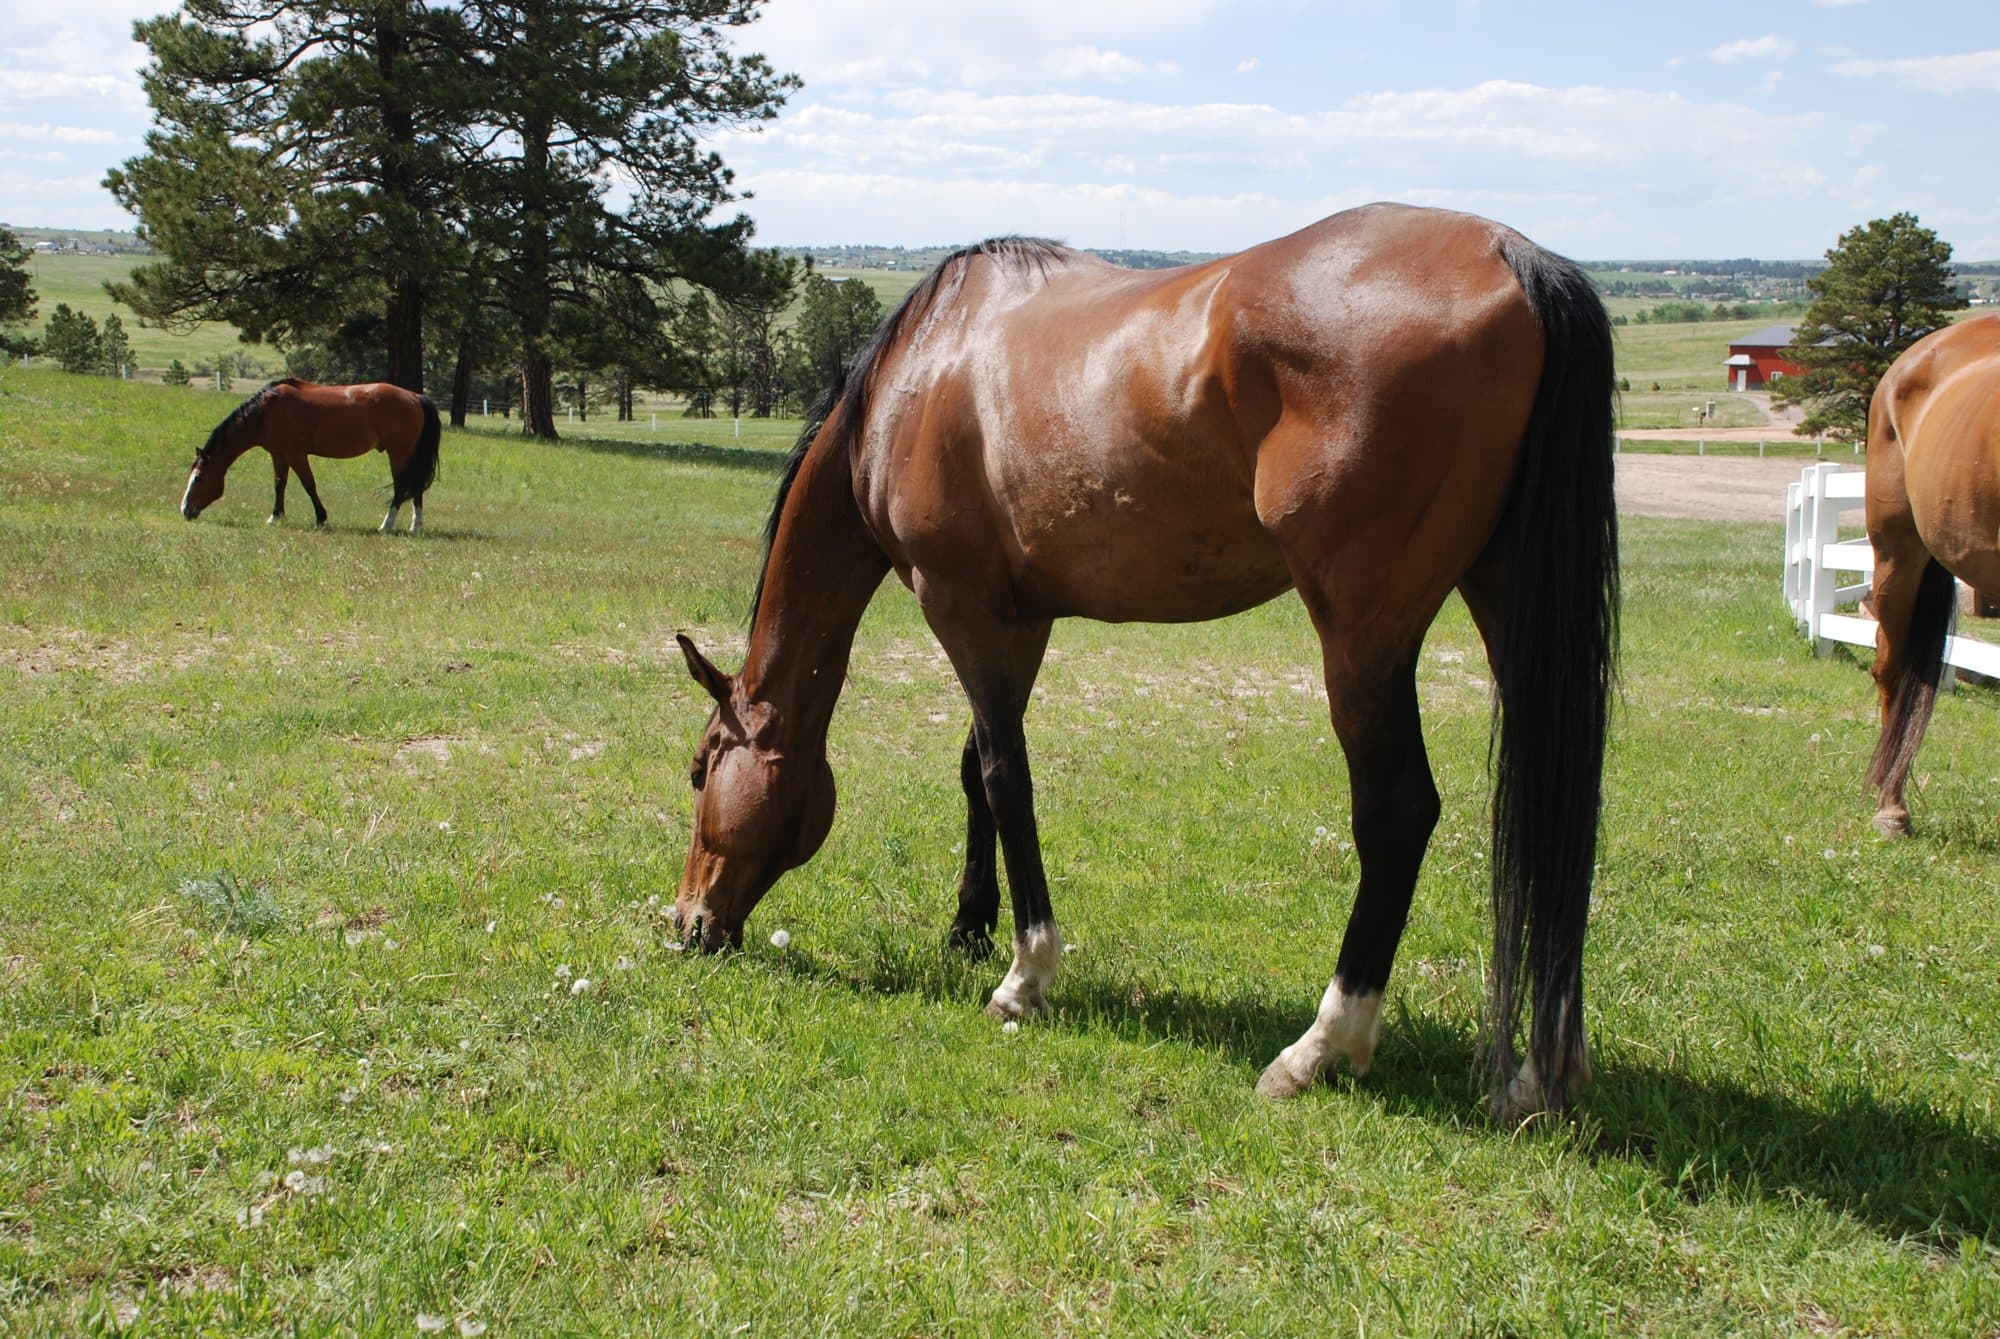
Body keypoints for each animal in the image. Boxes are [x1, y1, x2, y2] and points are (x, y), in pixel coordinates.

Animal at [179, 379, 440, 532]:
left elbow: (308, 484)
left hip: (399, 454)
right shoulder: (278, 454)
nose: (185, 511)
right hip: (409, 455)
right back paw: (416, 526)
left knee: (401, 487)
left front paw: (320, 518)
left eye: (198, 479)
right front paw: (275, 517)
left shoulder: (295, 454)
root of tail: (415, 397)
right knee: (416, 488)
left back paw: (387, 524)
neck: (266, 412)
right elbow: (280, 484)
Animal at [673, 203, 1619, 1120]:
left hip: (1363, 636)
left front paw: (1024, 974)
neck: (922, 371)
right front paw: (969, 926)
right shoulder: (1020, 621)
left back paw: (1318, 1048)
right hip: (1503, 598)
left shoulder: (965, 607)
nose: (686, 921)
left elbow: (1006, 780)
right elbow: (977, 768)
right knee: (1551, 795)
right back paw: (1542, 1074)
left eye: (699, 768)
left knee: (1398, 812)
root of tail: (1514, 256)